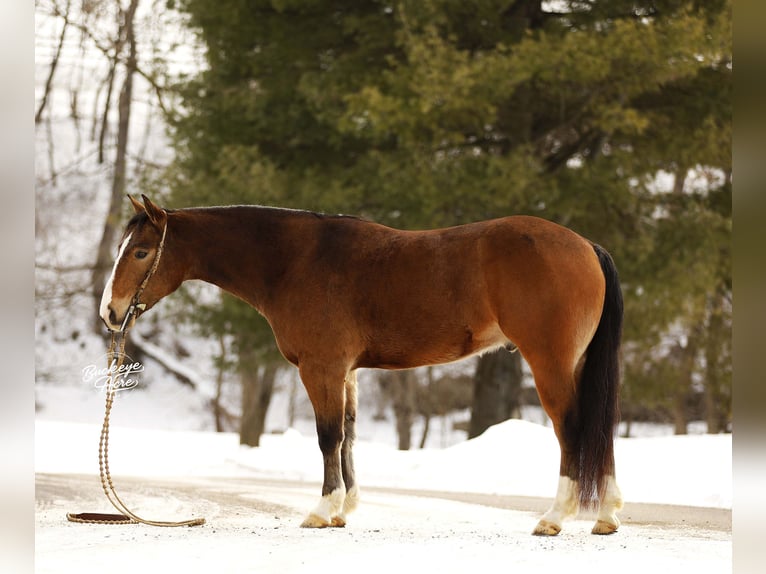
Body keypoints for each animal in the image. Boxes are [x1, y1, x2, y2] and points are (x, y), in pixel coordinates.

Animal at [100, 194, 624, 536]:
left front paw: (322, 508)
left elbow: (328, 436)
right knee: (600, 428)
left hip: (550, 363)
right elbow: (349, 434)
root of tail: (587, 247)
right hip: (577, 365)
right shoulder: (347, 372)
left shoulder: (321, 368)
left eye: (141, 252)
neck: (294, 261)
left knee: (572, 428)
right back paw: (606, 516)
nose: (109, 312)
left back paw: (555, 517)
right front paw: (343, 509)